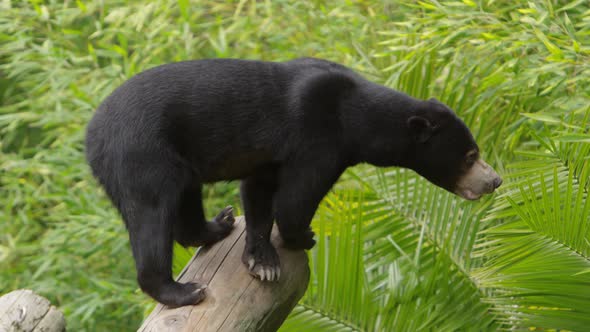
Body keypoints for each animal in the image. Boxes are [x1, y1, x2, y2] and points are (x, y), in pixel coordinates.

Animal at [85, 58, 502, 308]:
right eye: (470, 156)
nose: (495, 180)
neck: (359, 119)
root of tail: (91, 137)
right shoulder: (319, 140)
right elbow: (295, 199)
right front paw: (304, 238)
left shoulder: (271, 154)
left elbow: (259, 193)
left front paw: (261, 260)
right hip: (143, 155)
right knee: (153, 216)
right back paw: (183, 290)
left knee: (185, 203)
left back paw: (219, 224)